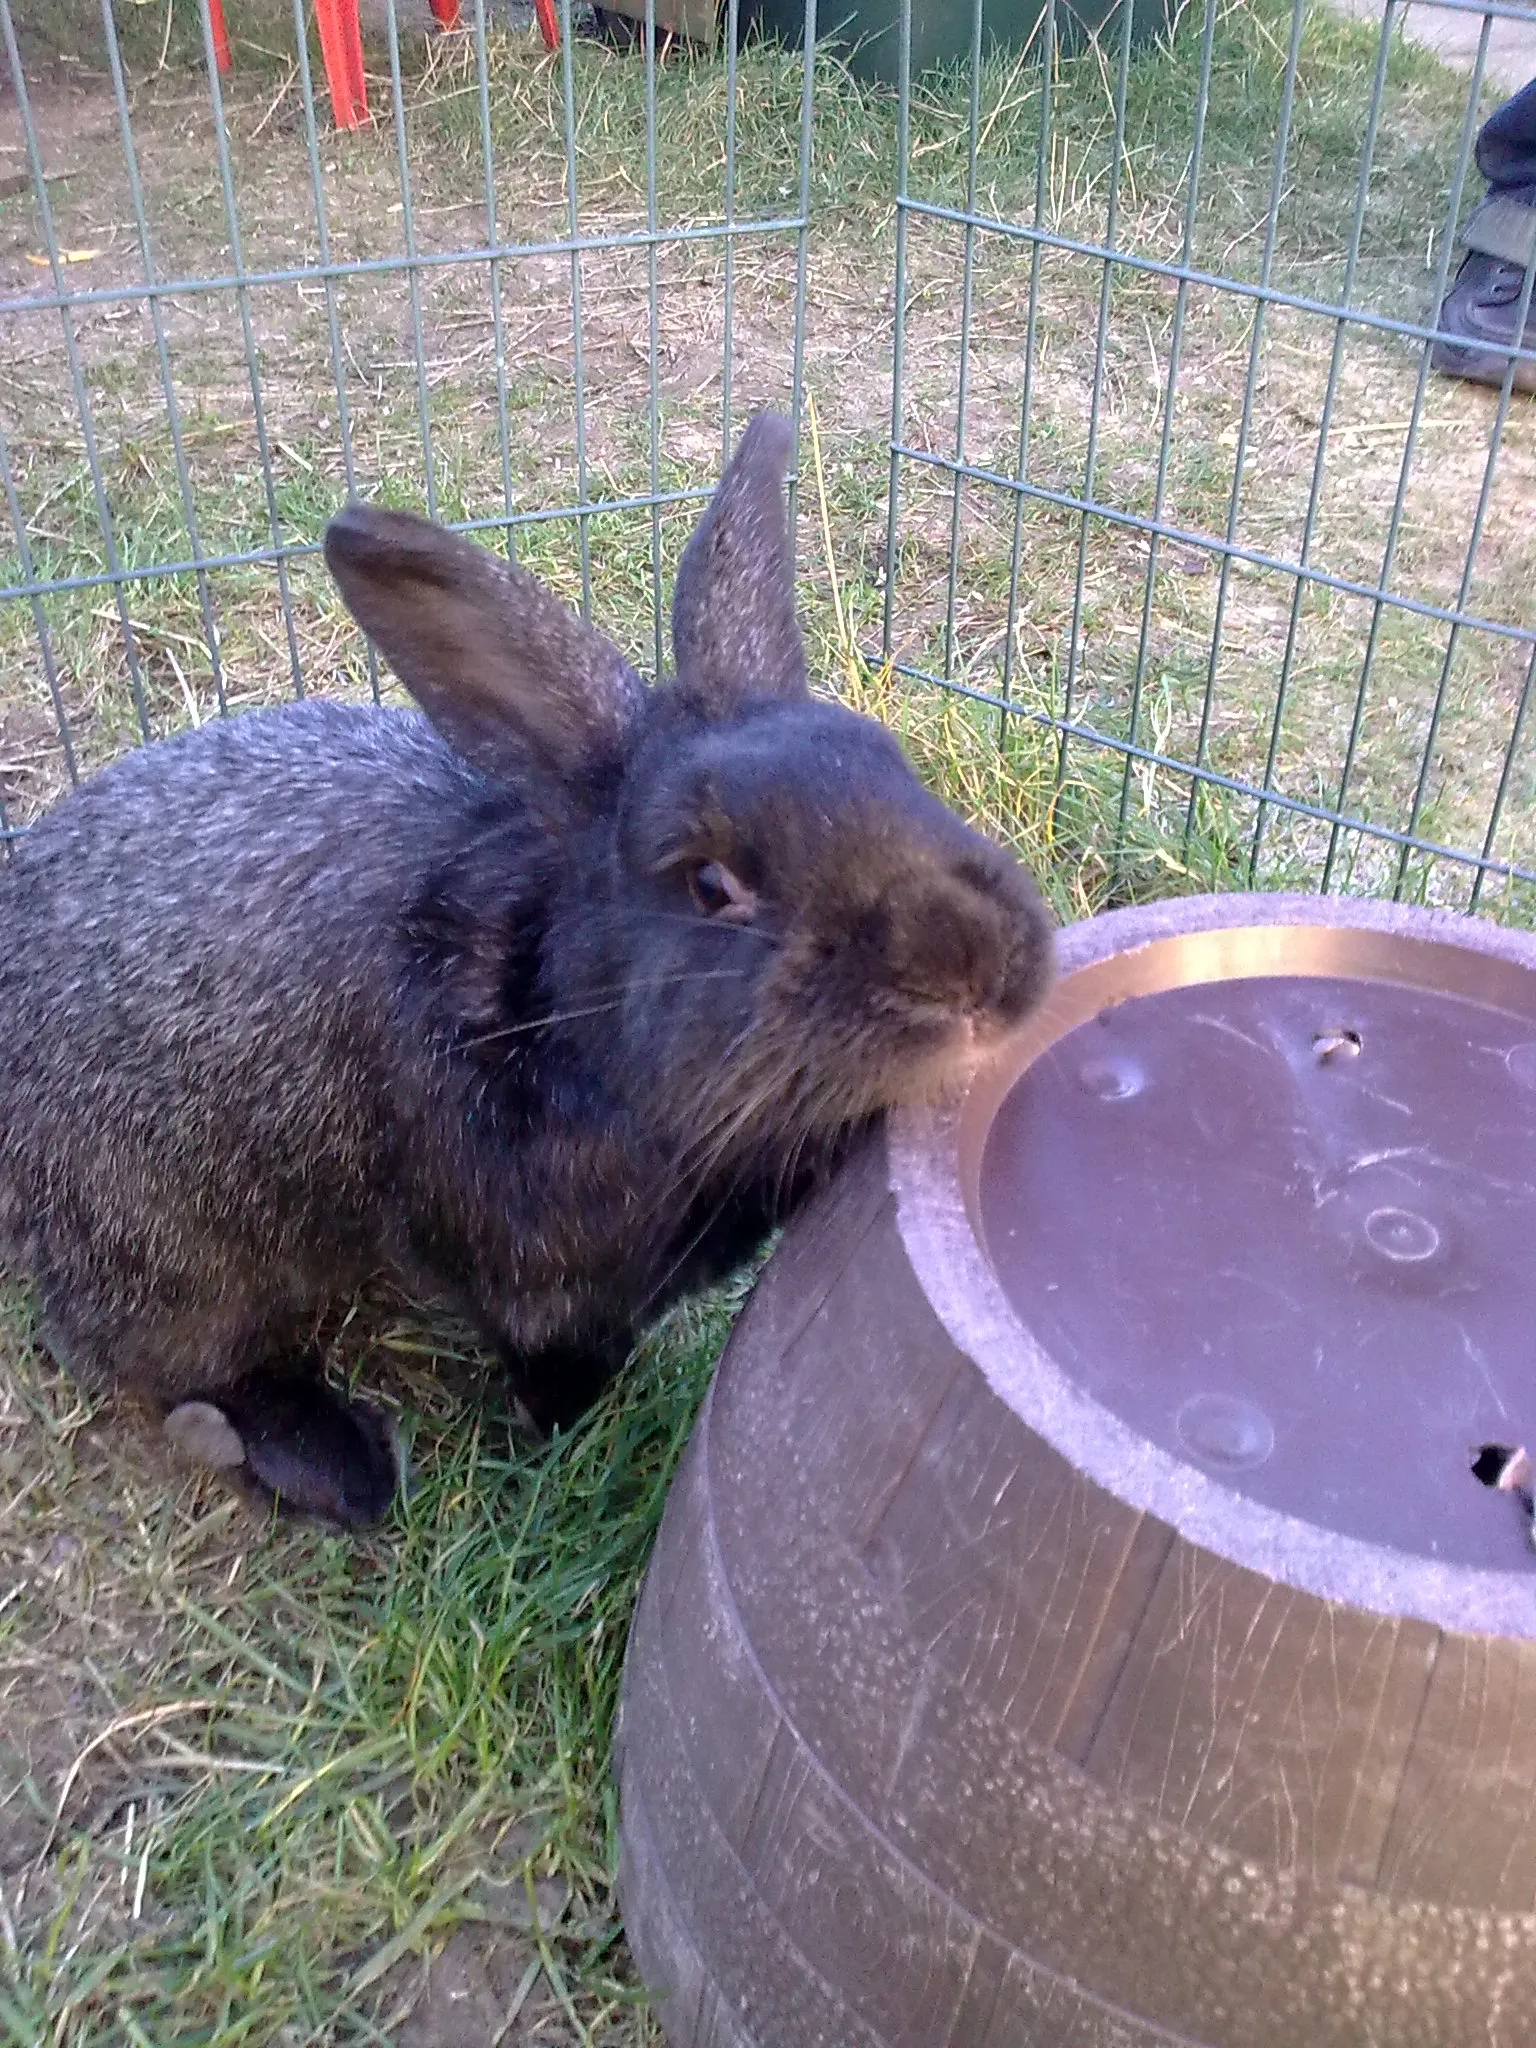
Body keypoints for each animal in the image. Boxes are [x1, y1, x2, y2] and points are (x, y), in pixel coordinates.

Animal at [0, 412, 1054, 1528]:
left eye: (891, 763)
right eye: (710, 881)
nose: (976, 963)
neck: (556, 1018)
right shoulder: (522, 1266)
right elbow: (547, 1349)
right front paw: (560, 1422)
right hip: (170, 1245)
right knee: (178, 1361)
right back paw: (339, 1465)